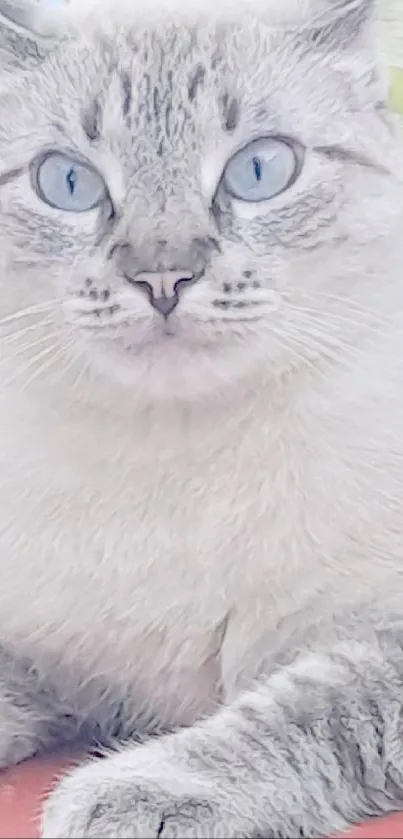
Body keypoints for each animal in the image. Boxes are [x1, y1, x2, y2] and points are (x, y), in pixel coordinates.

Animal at [0, 0, 403, 836]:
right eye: (68, 182)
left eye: (259, 170)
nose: (162, 275)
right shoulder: (46, 657)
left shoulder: (383, 642)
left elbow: (305, 710)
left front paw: (132, 793)